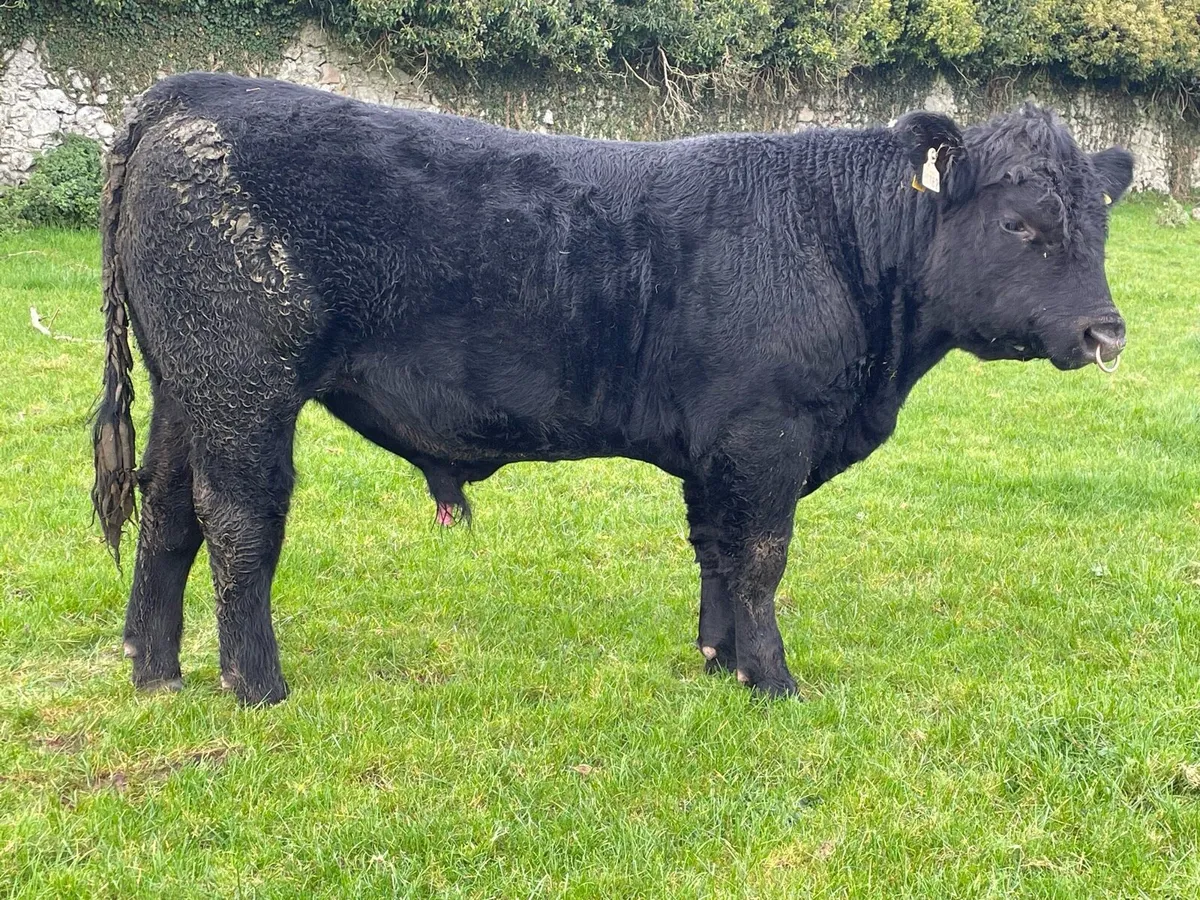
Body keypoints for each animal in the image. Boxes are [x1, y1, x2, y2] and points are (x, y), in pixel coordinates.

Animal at [92, 73, 1133, 705]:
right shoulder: (767, 435)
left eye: (1098, 223)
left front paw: (720, 663)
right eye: (1022, 225)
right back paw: (255, 684)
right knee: (239, 520)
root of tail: (192, 91)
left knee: (167, 512)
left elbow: (717, 552)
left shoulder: (720, 446)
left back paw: (153, 668)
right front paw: (775, 680)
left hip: (186, 385)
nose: (1107, 332)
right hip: (247, 388)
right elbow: (762, 558)